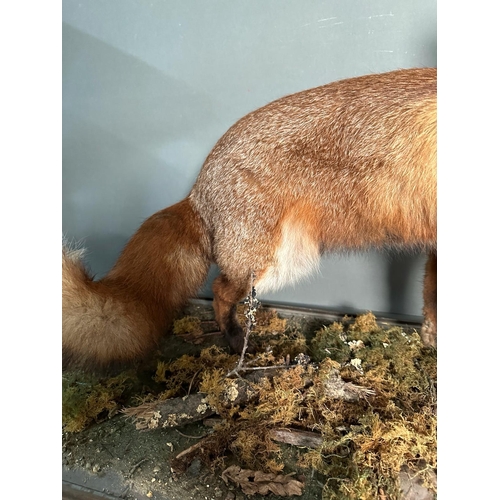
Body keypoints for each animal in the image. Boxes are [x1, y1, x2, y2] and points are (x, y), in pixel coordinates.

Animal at [63, 66, 438, 374]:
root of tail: (199, 187)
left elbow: (430, 304)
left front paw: (431, 347)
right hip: (271, 263)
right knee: (219, 290)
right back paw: (234, 341)